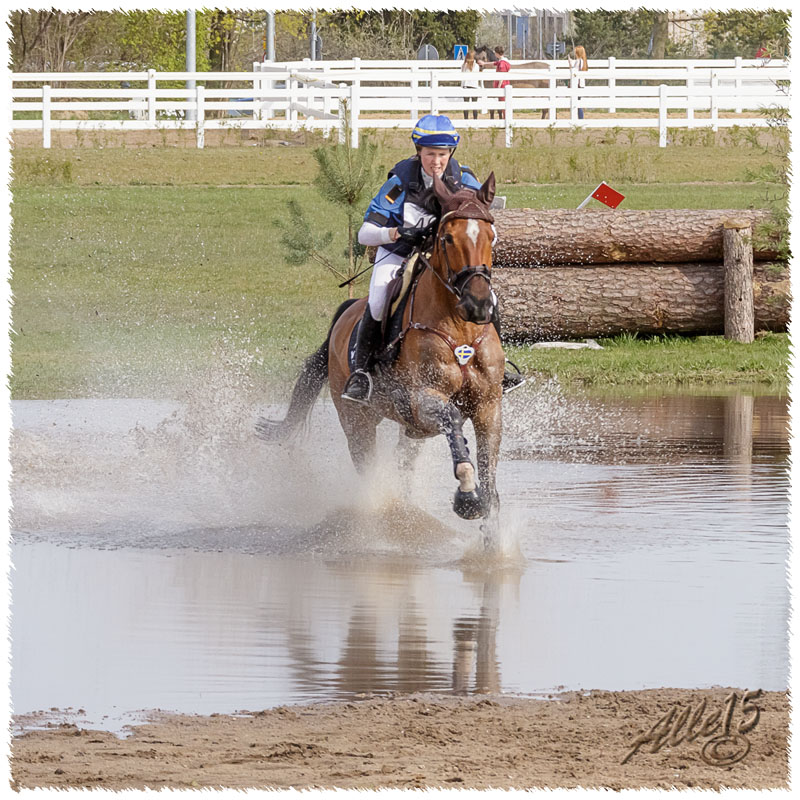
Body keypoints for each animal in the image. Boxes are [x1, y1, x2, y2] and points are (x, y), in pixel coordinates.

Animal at [258, 171, 506, 552]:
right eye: (447, 237)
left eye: (491, 236)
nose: (478, 305)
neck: (460, 328)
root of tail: (345, 315)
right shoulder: (424, 400)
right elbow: (454, 426)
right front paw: (466, 498)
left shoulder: (488, 406)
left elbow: (490, 480)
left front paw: (493, 549)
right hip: (358, 422)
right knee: (369, 471)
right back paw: (379, 526)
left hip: (411, 431)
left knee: (403, 465)